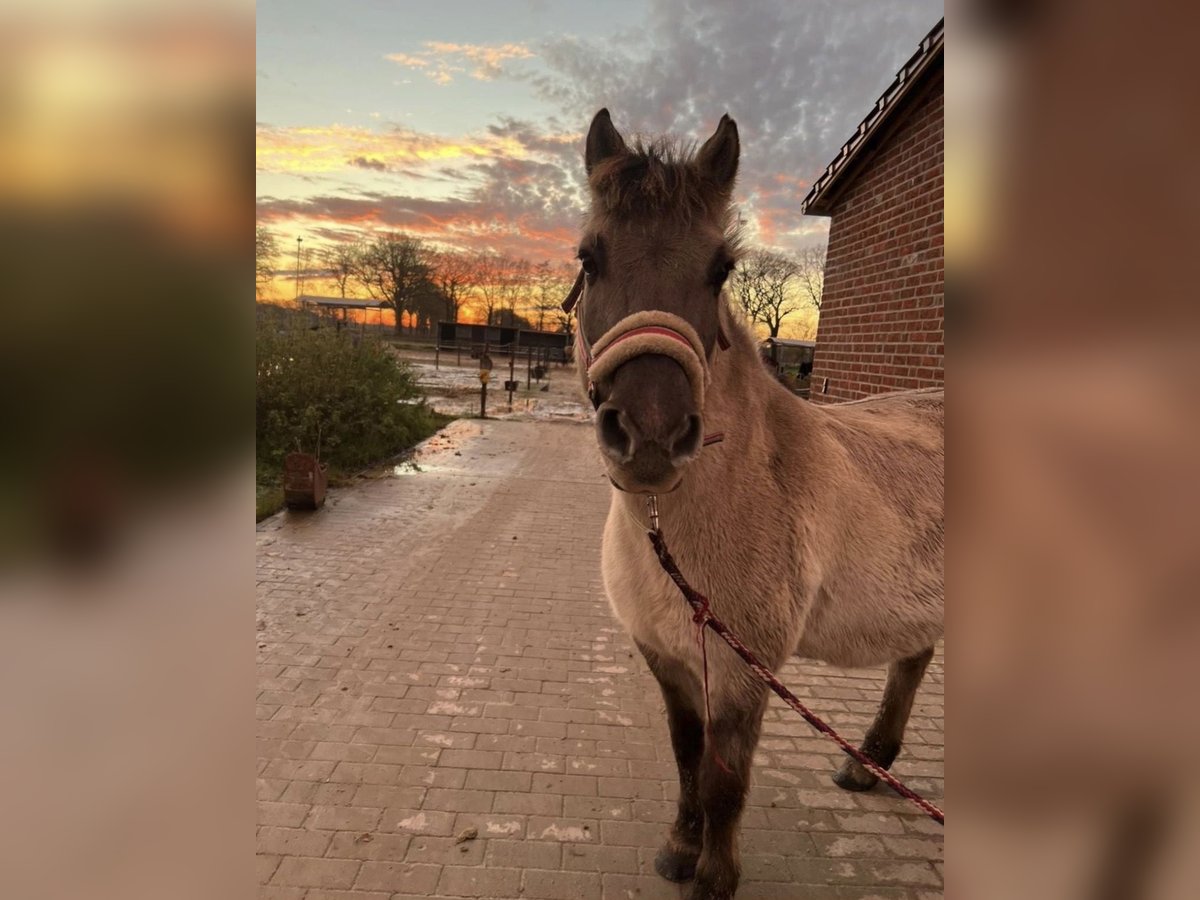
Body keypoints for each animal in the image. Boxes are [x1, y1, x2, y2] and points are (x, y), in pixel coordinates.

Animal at [570, 109, 943, 899]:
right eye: (590, 257)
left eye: (721, 269)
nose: (651, 436)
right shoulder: (668, 658)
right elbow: (686, 758)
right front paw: (679, 851)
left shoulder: (745, 670)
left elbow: (724, 781)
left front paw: (714, 878)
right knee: (913, 659)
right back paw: (866, 764)